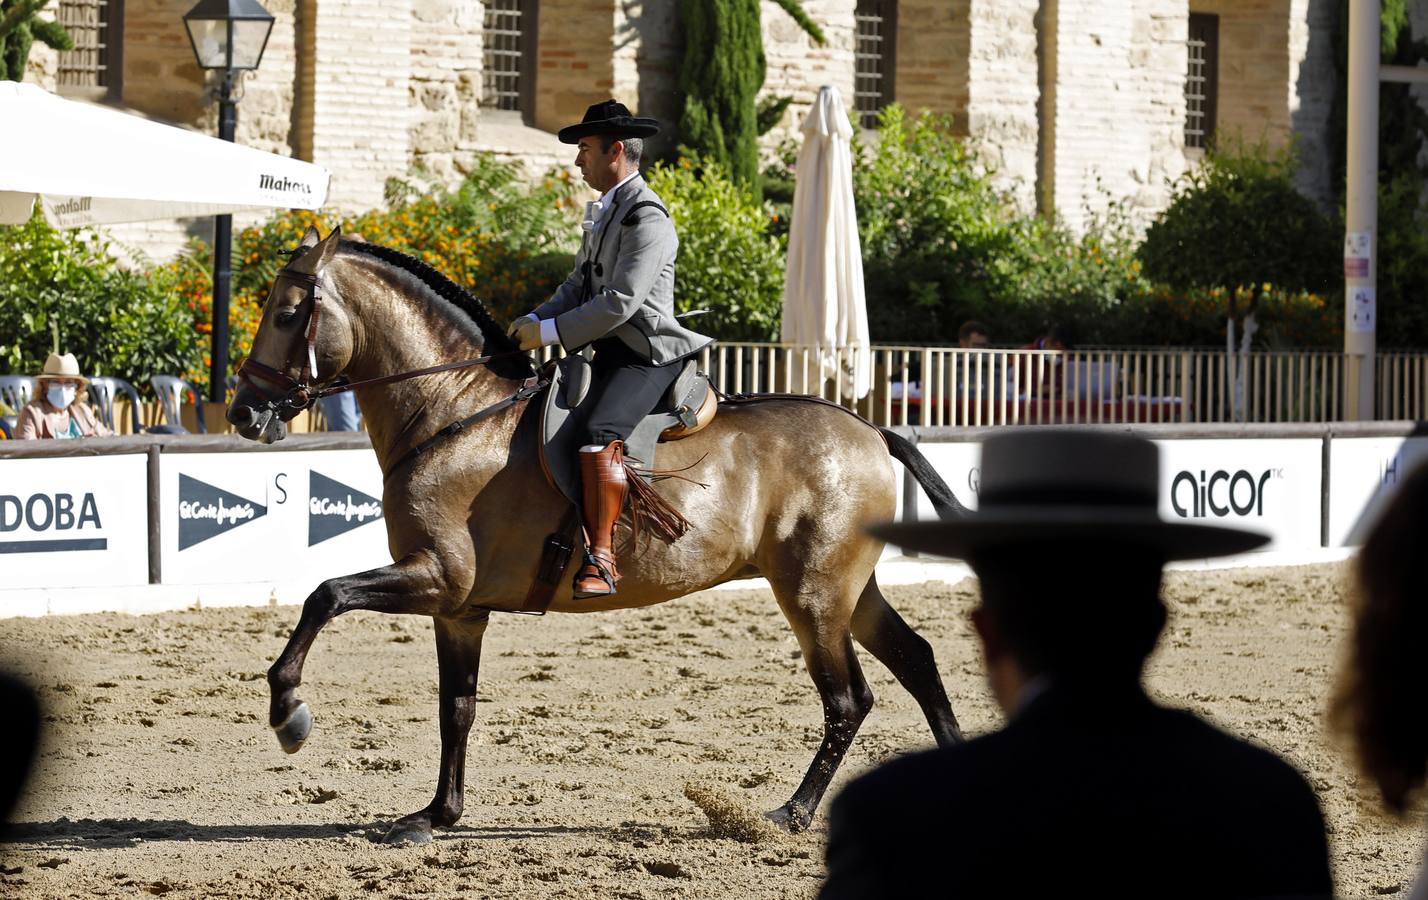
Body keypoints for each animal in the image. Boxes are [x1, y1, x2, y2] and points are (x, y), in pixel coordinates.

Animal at [228, 225, 971, 845]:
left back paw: (790, 813)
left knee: (848, 698)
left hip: (814, 595)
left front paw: (289, 713)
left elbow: (325, 595)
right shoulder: (459, 607)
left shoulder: (437, 577)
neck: (456, 415)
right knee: (915, 661)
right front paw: (436, 816)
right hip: (849, 590)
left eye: (288, 314)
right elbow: (455, 708)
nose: (242, 413)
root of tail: (872, 429)